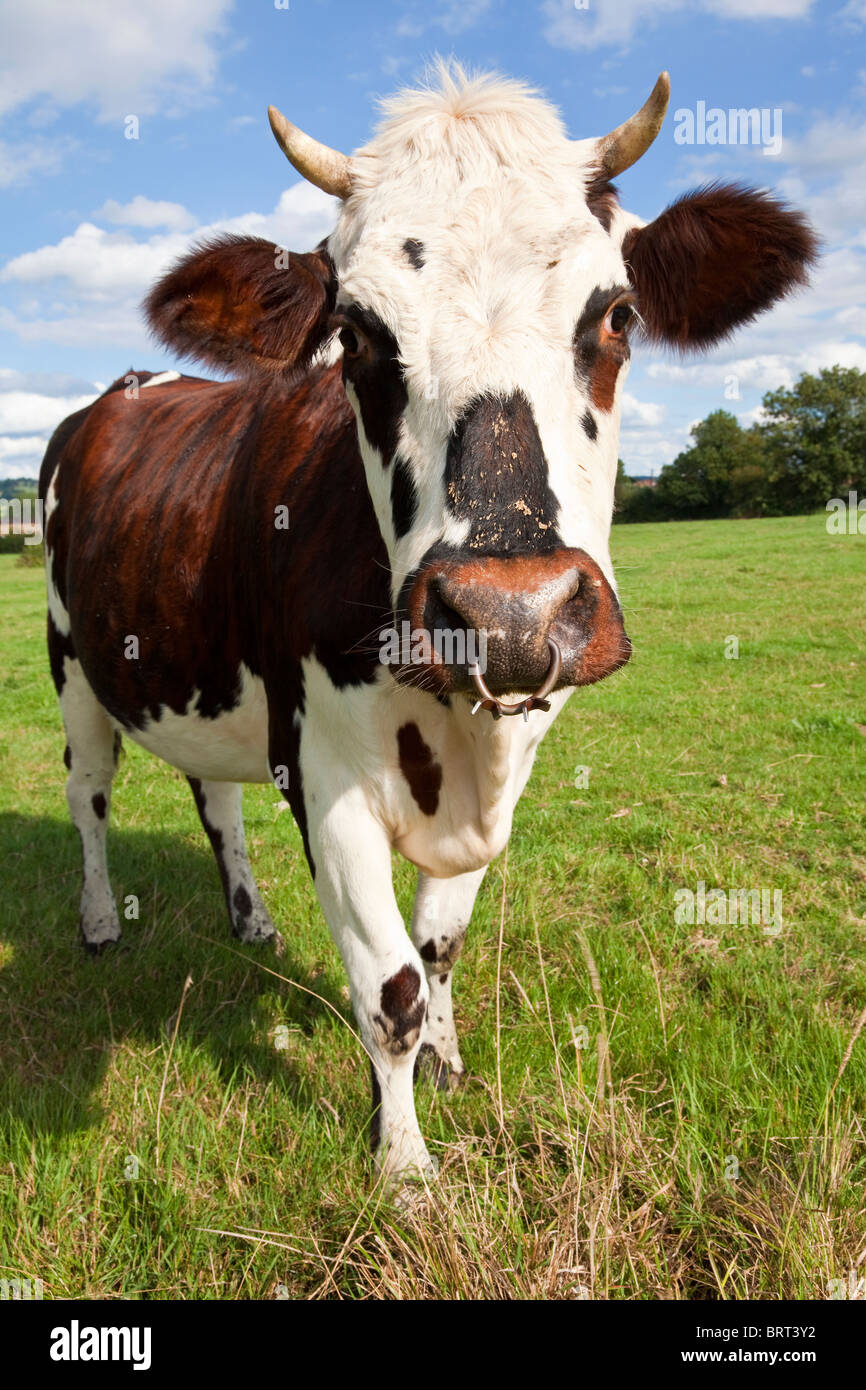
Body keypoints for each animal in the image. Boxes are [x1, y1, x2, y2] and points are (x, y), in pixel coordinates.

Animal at [38, 65, 811, 1189]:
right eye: (356, 334)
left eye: (617, 312)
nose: (509, 612)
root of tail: (124, 389)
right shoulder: (324, 773)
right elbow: (390, 985)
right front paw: (402, 1167)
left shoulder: (514, 746)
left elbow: (440, 942)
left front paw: (447, 1062)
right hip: (75, 666)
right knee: (89, 795)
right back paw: (99, 922)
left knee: (214, 800)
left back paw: (252, 920)